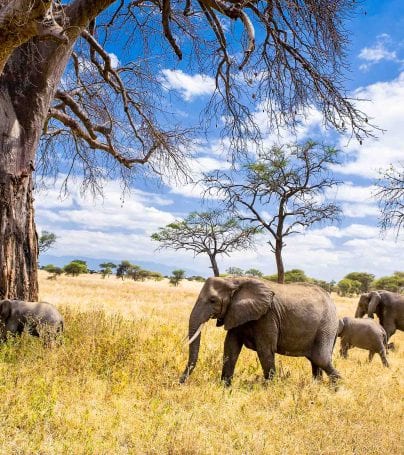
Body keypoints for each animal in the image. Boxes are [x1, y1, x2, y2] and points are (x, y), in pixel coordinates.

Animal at [180, 276, 340, 386]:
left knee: (320, 358)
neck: (235, 280)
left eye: (213, 300)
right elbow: (230, 347)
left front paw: (270, 389)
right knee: (315, 360)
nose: (180, 382)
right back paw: (316, 387)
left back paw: (338, 388)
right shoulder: (236, 313)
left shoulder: (267, 316)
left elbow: (265, 350)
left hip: (327, 325)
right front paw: (225, 388)